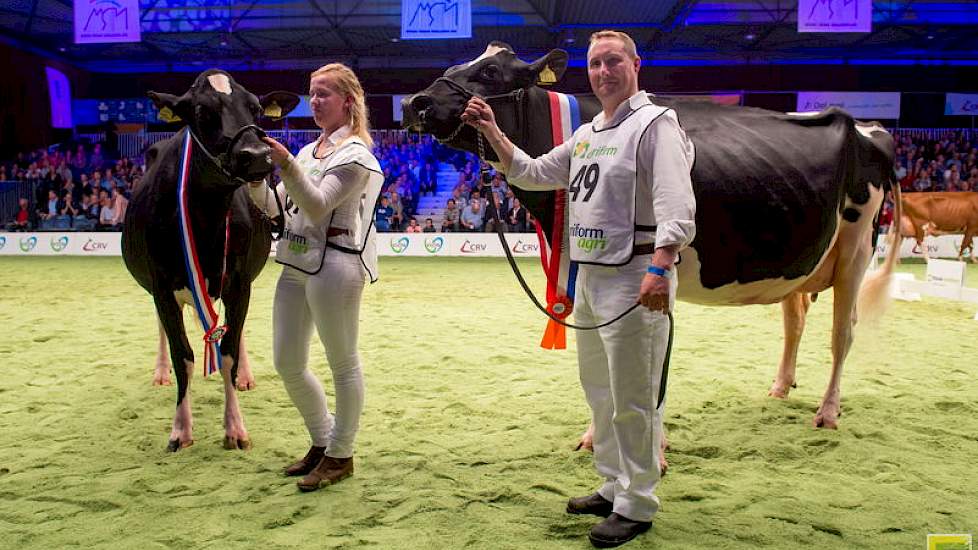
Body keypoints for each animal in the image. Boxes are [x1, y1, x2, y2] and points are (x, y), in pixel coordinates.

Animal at [123, 69, 298, 452]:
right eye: (201, 111)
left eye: (256, 108)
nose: (256, 154)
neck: (207, 217)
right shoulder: (162, 286)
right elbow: (183, 355)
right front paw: (180, 430)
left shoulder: (238, 281)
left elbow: (229, 350)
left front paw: (235, 428)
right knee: (164, 330)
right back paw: (160, 372)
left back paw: (245, 376)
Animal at [402, 43, 900, 432]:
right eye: (452, 66)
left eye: (489, 72)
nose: (414, 103)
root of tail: (865, 127)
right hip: (801, 258)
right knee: (794, 321)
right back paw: (780, 387)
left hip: (856, 248)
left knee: (842, 332)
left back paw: (828, 412)